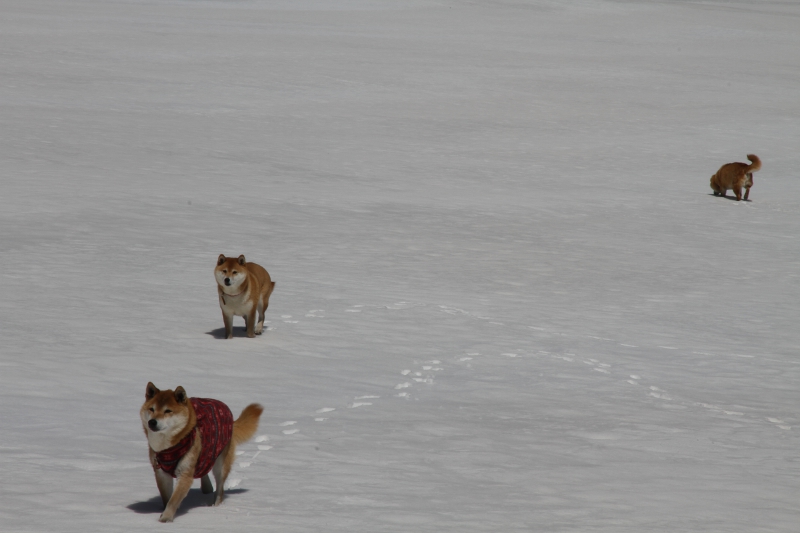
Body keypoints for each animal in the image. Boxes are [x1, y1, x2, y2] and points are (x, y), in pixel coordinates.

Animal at [138, 380, 262, 520]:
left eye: (168, 411)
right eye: (152, 409)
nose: (152, 422)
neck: (169, 449)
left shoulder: (185, 474)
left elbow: (173, 500)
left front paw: (166, 518)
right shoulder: (160, 472)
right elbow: (166, 498)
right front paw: (165, 511)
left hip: (220, 464)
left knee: (220, 488)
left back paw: (216, 506)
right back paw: (207, 488)